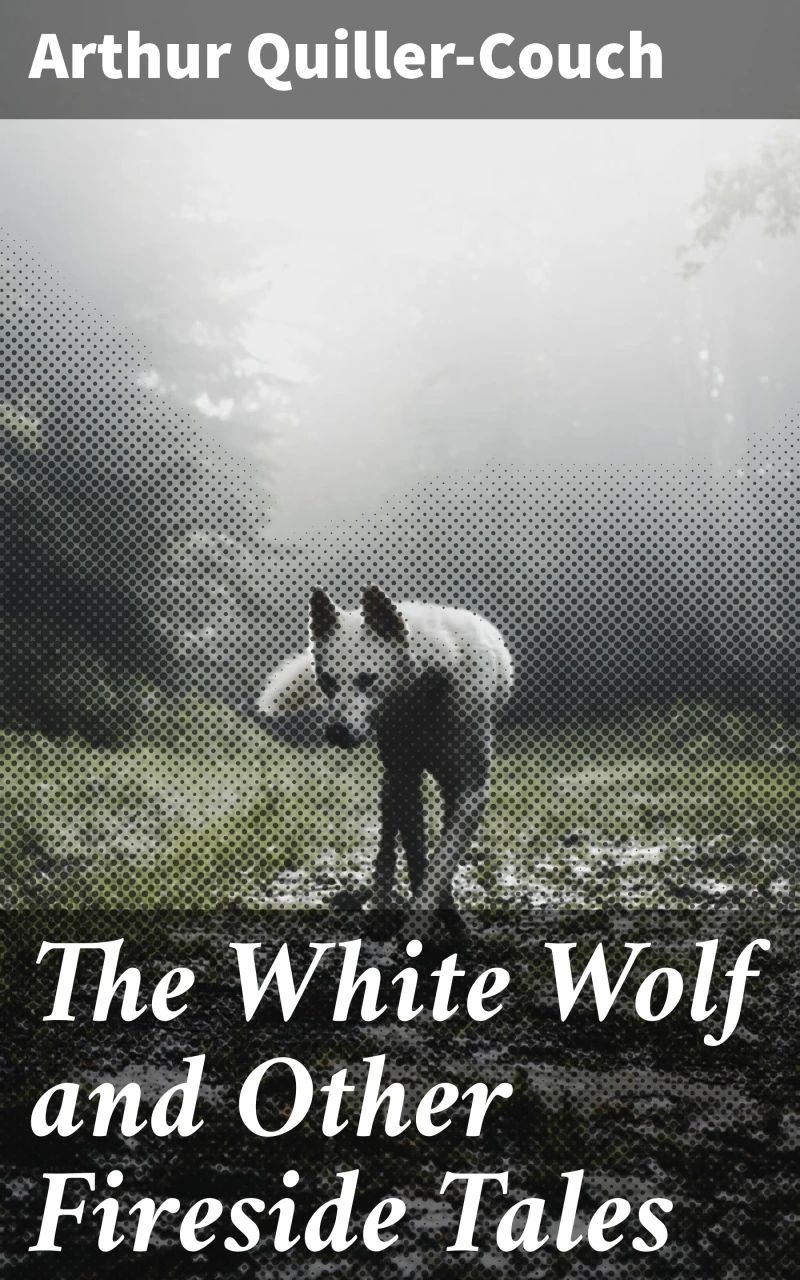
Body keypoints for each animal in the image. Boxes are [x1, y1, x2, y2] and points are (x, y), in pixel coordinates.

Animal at [257, 587, 513, 914]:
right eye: (327, 680)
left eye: (367, 679)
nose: (336, 732)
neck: (425, 696)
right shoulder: (406, 779)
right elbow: (418, 859)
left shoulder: (471, 793)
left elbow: (440, 863)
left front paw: (438, 914)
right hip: (392, 781)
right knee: (387, 847)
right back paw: (379, 899)